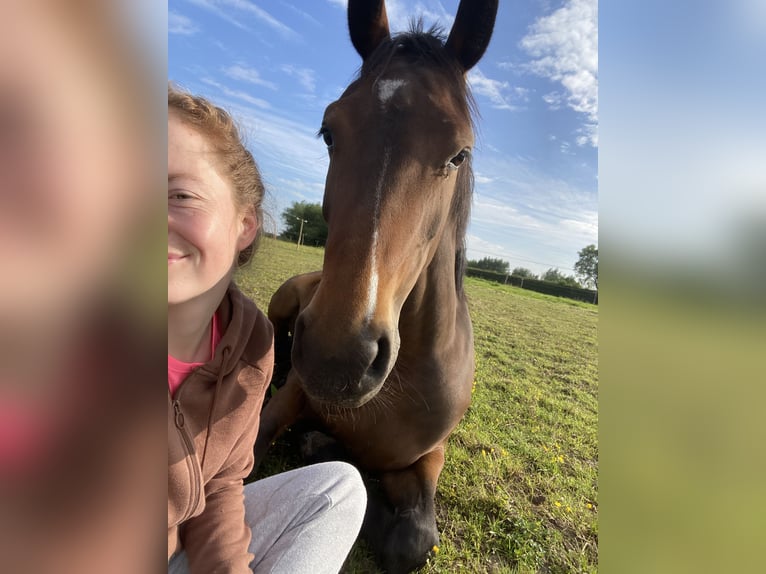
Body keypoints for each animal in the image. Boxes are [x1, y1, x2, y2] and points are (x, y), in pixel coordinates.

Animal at [255, 2, 500, 572]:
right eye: (328, 131)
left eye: (459, 153)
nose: (339, 357)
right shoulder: (290, 400)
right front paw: (316, 444)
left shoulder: (430, 455)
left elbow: (412, 540)